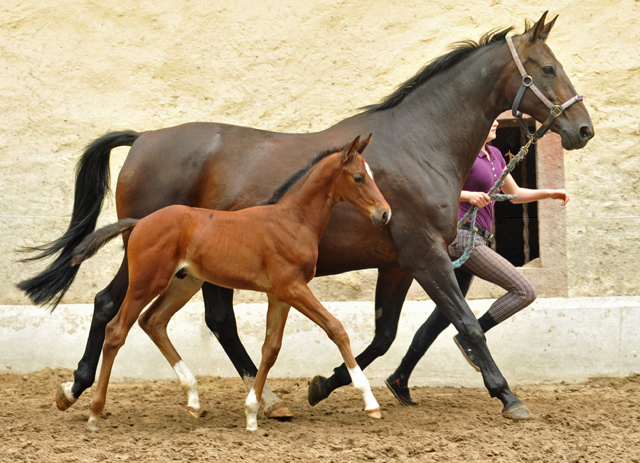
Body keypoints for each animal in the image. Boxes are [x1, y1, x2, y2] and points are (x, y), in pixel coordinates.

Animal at [70, 136, 390, 434]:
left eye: (372, 175)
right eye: (358, 177)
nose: (384, 213)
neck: (291, 221)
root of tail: (139, 222)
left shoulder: (279, 296)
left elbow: (271, 348)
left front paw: (252, 413)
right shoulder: (292, 288)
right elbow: (336, 328)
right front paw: (370, 402)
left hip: (182, 284)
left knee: (153, 321)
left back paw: (193, 399)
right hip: (146, 282)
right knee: (116, 331)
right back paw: (94, 413)